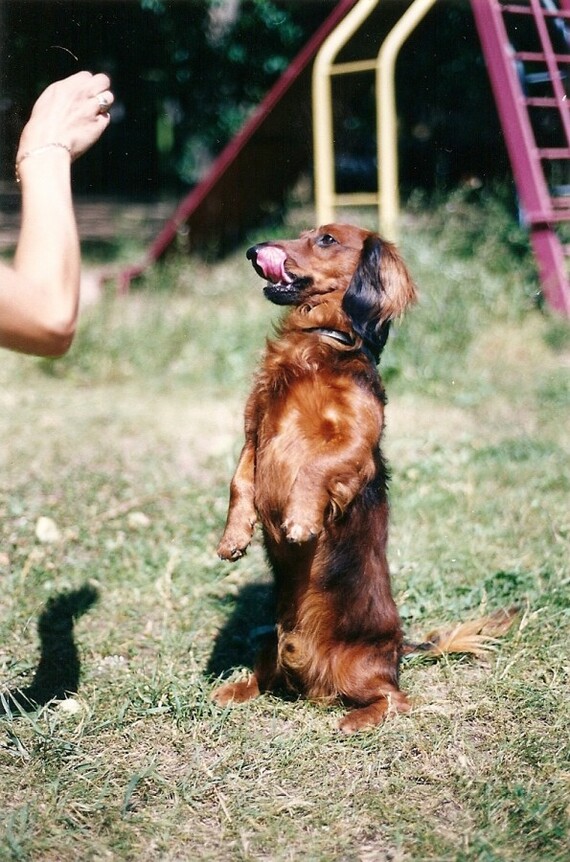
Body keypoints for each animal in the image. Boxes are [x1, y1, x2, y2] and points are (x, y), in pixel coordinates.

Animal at [212, 224, 510, 736]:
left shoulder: (356, 443)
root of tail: (399, 650)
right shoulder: (254, 432)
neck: (318, 342)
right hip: (271, 646)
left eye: (326, 239)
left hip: (360, 667)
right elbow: (239, 482)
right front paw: (234, 538)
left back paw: (357, 718)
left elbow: (315, 468)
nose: (253, 251)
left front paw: (300, 521)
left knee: (394, 699)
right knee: (266, 678)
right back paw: (234, 689)